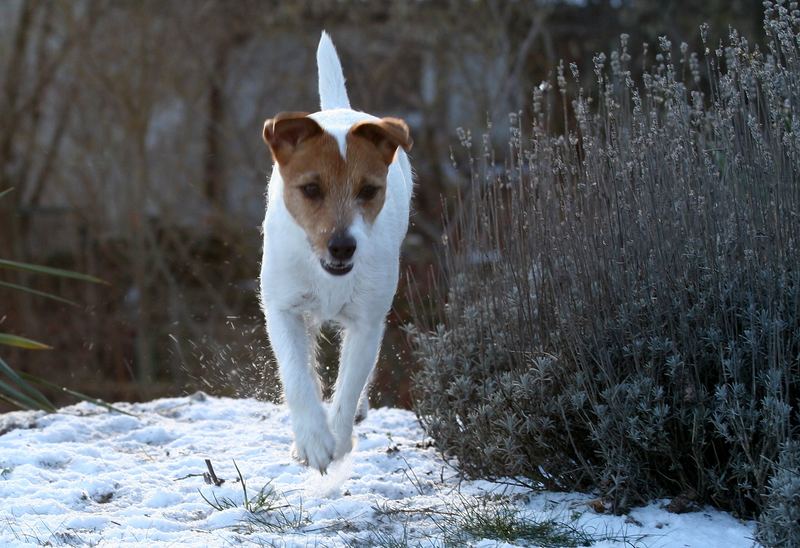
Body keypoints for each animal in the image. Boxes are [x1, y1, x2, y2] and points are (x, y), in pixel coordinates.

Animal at [260, 32, 412, 474]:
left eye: (368, 190)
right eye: (311, 189)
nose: (342, 245)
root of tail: (339, 110)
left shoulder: (367, 319)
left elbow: (348, 386)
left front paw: (337, 441)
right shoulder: (283, 308)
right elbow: (297, 377)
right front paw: (312, 440)